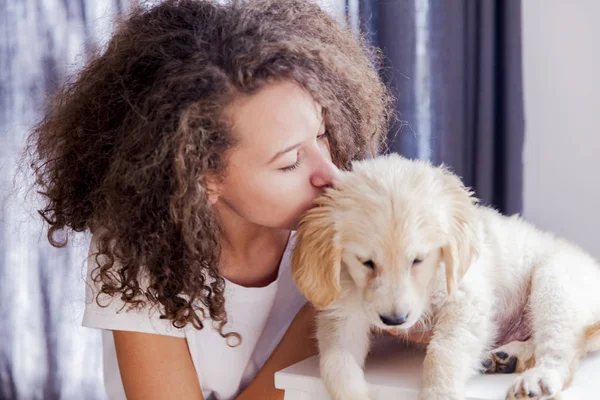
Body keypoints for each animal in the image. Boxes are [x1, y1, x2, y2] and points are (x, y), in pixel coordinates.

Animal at [292, 154, 600, 400]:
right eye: (366, 262)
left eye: (418, 260)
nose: (394, 320)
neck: (429, 282)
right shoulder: (342, 311)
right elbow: (336, 361)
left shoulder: (466, 302)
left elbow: (443, 353)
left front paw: (439, 393)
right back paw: (507, 357)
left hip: (555, 281)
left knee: (564, 348)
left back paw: (537, 379)